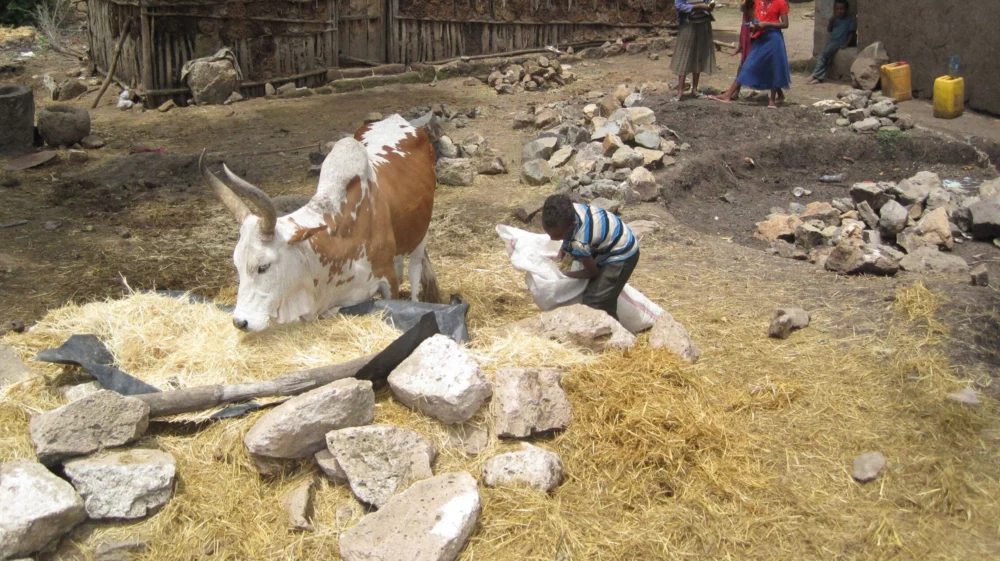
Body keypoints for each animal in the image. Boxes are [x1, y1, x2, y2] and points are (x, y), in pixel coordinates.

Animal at [200, 114, 439, 332]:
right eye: (236, 264)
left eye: (263, 266)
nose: (240, 322)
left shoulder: (387, 280)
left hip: (421, 234)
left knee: (415, 270)